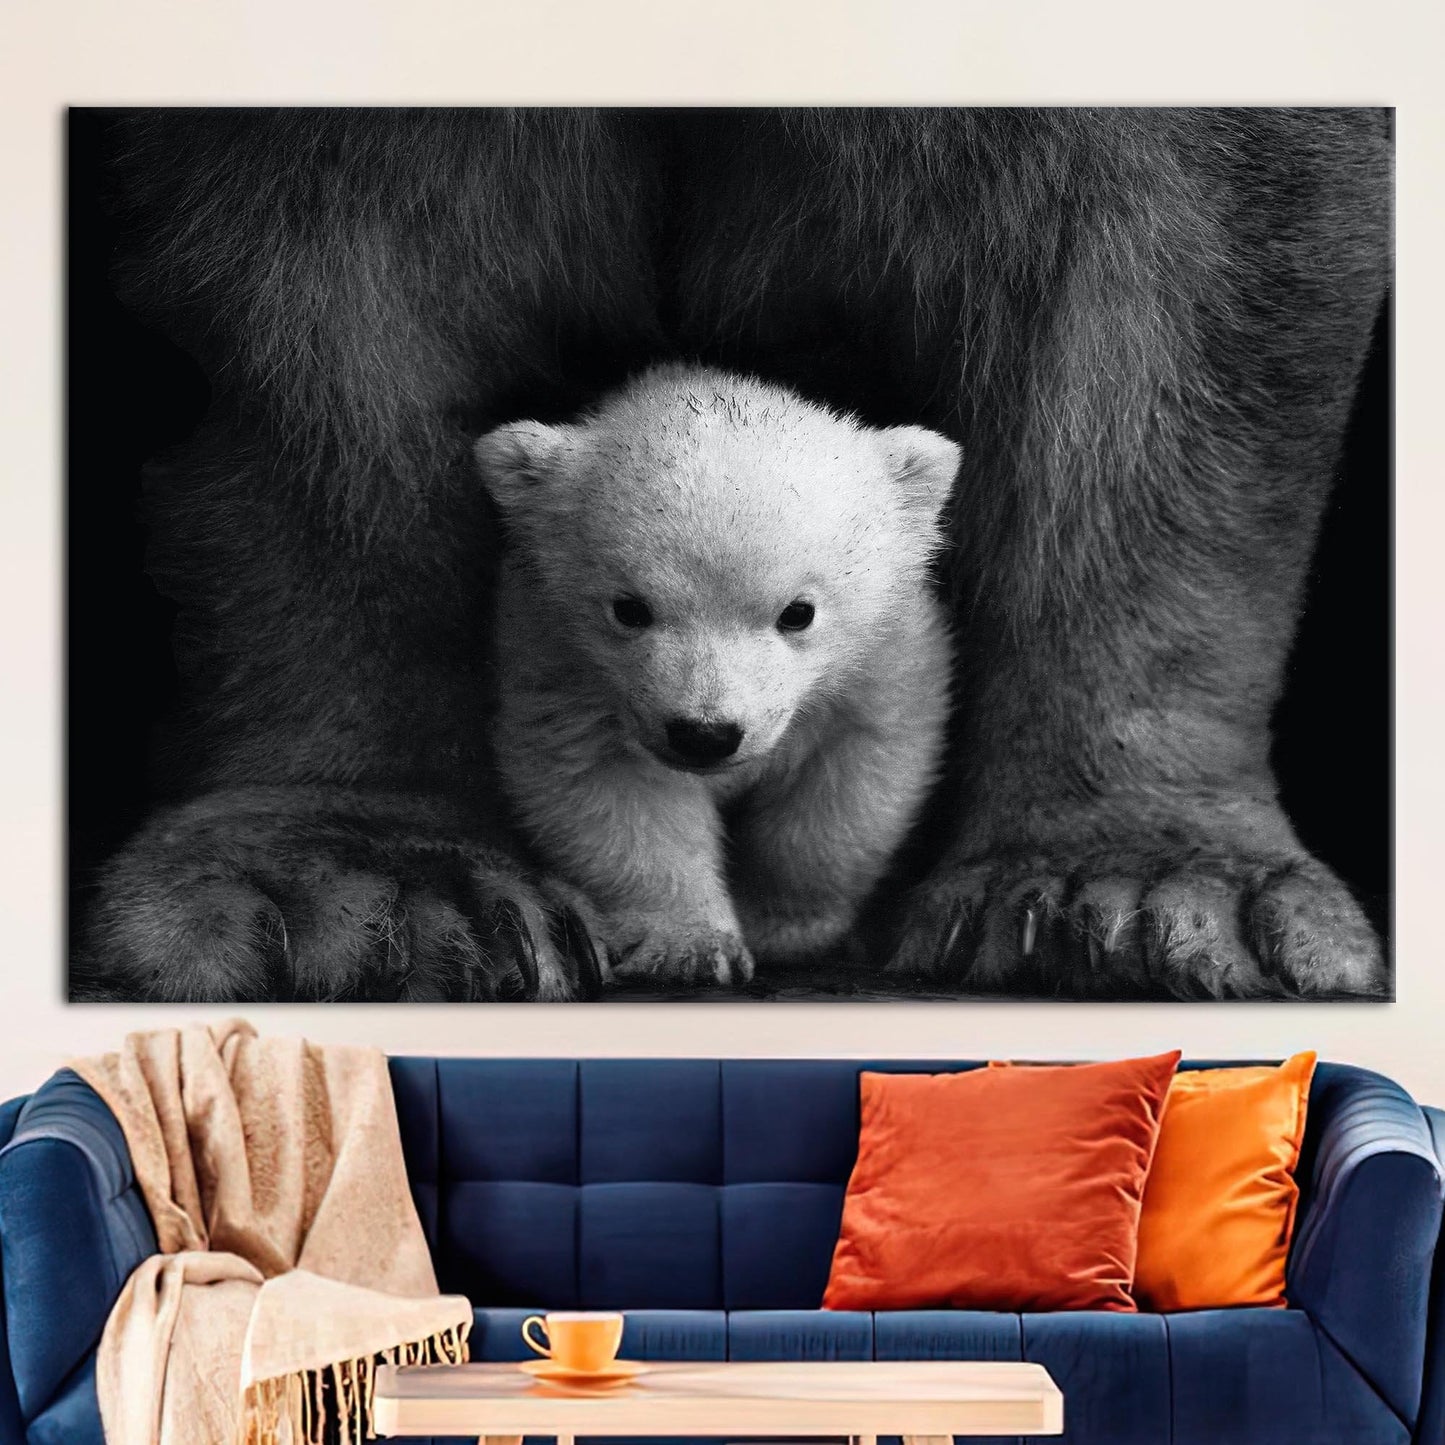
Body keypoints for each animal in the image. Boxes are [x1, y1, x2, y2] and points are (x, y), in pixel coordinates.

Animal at [475, 364, 957, 988]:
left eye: (797, 612)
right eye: (629, 608)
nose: (705, 735)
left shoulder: (883, 662)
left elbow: (849, 781)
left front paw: (784, 928)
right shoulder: (559, 663)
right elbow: (610, 787)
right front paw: (690, 946)